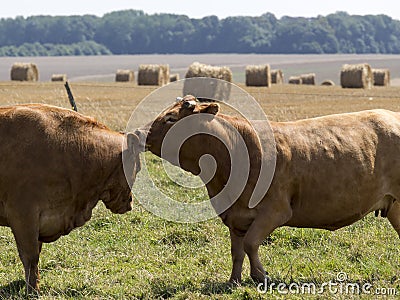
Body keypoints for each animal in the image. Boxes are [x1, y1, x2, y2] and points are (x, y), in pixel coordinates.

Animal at [140, 96, 400, 286]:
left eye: (171, 118)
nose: (140, 133)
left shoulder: (275, 211)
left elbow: (250, 244)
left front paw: (260, 275)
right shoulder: (236, 217)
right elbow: (237, 251)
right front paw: (234, 281)